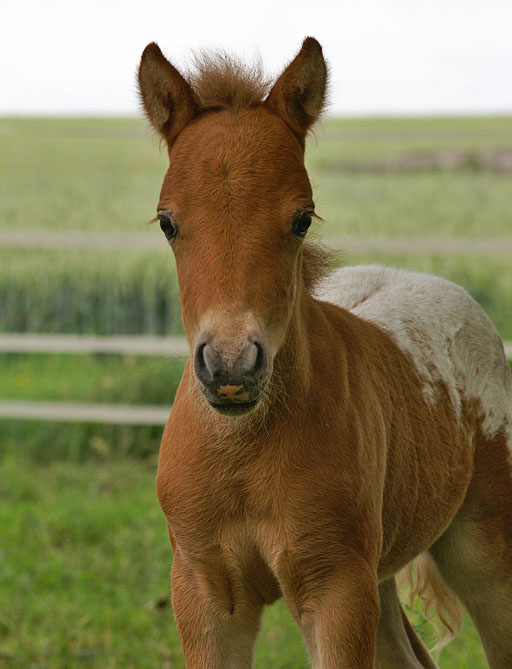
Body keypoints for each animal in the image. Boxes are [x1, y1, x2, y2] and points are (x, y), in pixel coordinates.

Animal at [138, 37, 512, 668]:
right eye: (168, 222)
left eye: (301, 219)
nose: (232, 368)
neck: (244, 454)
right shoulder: (204, 592)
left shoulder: (336, 592)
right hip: (379, 579)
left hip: (481, 554)